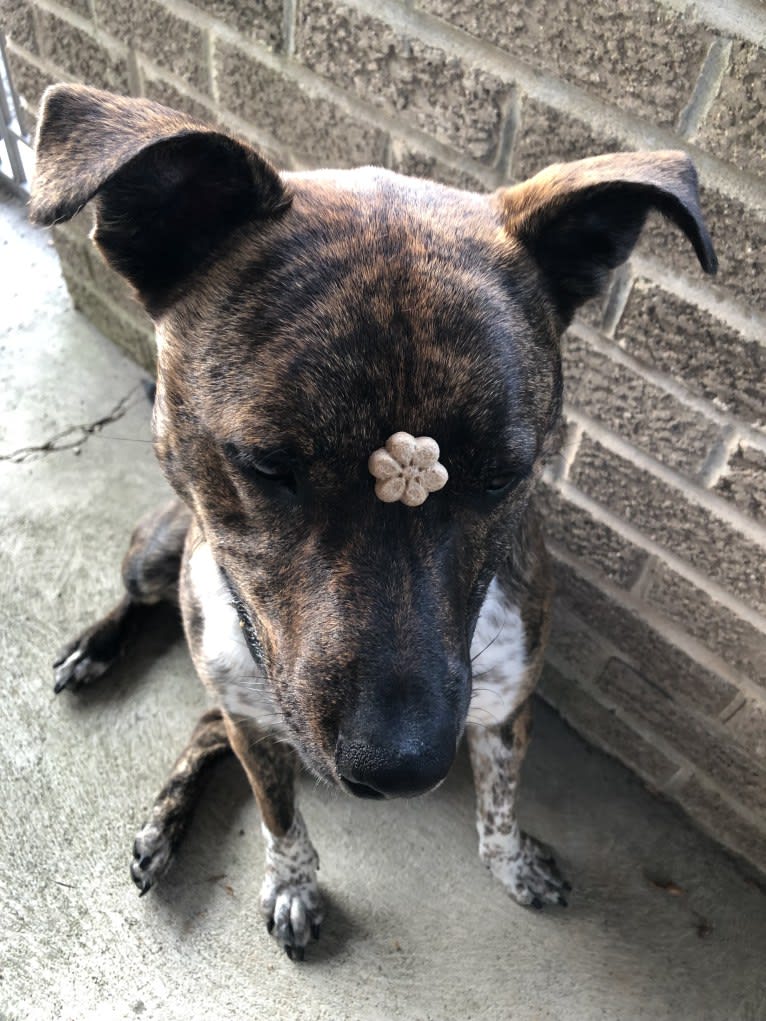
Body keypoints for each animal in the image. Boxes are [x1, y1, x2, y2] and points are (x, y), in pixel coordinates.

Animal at [31, 83, 719, 959]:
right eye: (268, 465)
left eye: (505, 474)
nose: (400, 767)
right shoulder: (258, 712)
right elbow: (279, 816)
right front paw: (292, 882)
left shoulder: (504, 708)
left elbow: (499, 803)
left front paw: (512, 861)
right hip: (157, 553)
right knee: (152, 622)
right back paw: (100, 663)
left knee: (204, 725)